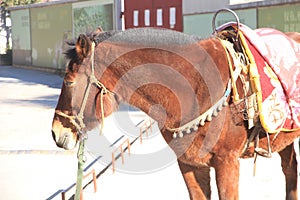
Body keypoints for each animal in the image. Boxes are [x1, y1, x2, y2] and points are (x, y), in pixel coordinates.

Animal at [50, 27, 298, 199]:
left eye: (69, 81)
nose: (56, 131)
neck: (196, 86)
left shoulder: (227, 162)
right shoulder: (189, 163)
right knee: (290, 171)